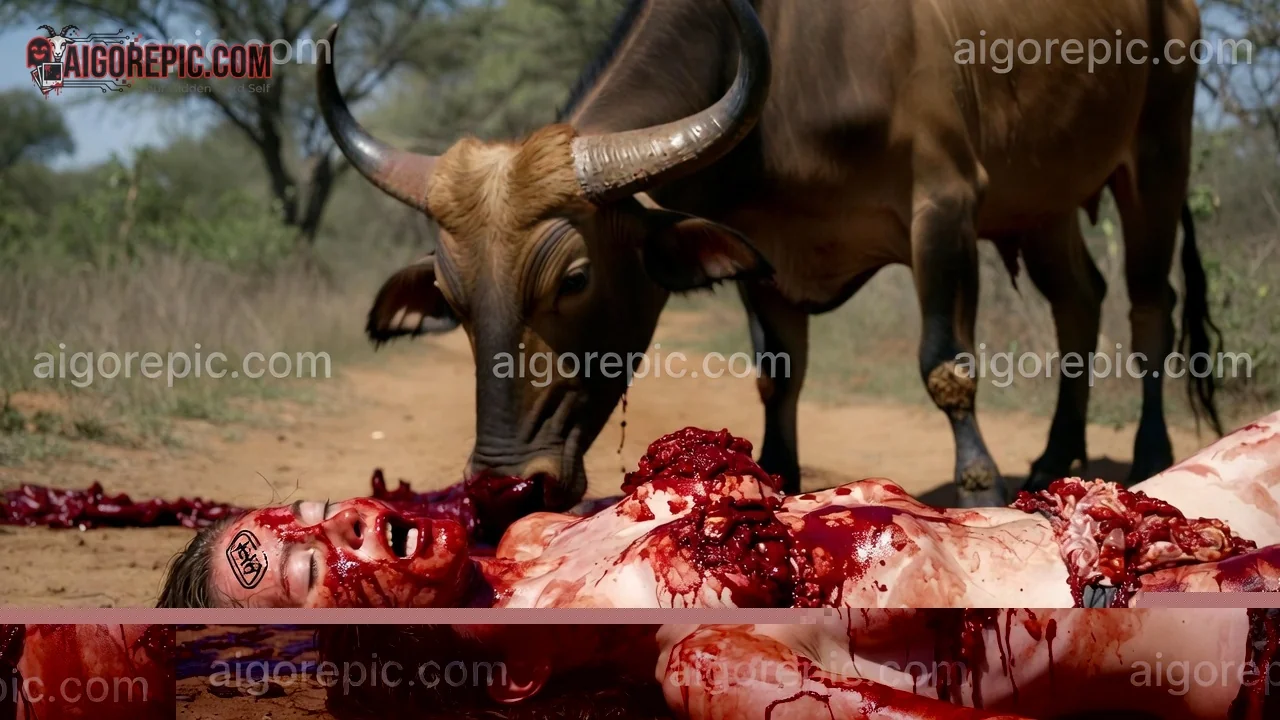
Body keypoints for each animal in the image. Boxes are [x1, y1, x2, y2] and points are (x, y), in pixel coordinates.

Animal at [318, 0, 1223, 509]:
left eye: (574, 277)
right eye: (451, 296)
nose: (506, 484)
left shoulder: (944, 207)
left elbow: (945, 363)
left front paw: (980, 485)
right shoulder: (766, 255)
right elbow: (778, 376)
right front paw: (777, 480)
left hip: (1157, 155)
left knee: (1149, 306)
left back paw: (1149, 453)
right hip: (1045, 205)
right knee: (1081, 300)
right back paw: (1055, 453)